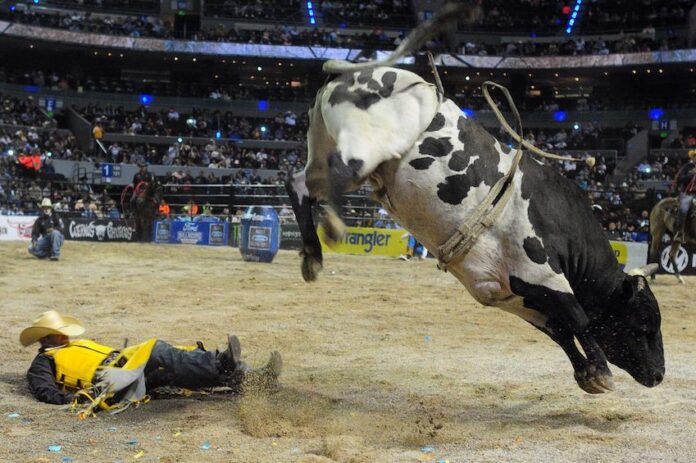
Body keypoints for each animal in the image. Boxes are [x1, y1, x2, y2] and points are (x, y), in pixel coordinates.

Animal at [285, 4, 665, 394]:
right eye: (644, 325)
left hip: (323, 152)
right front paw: (600, 371)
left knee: (298, 184)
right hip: (362, 154)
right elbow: (579, 318)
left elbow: (559, 329)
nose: (659, 374)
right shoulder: (542, 274)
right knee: (326, 184)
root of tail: (352, 71)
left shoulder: (509, 292)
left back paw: (312, 255)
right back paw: (332, 227)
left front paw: (586, 374)